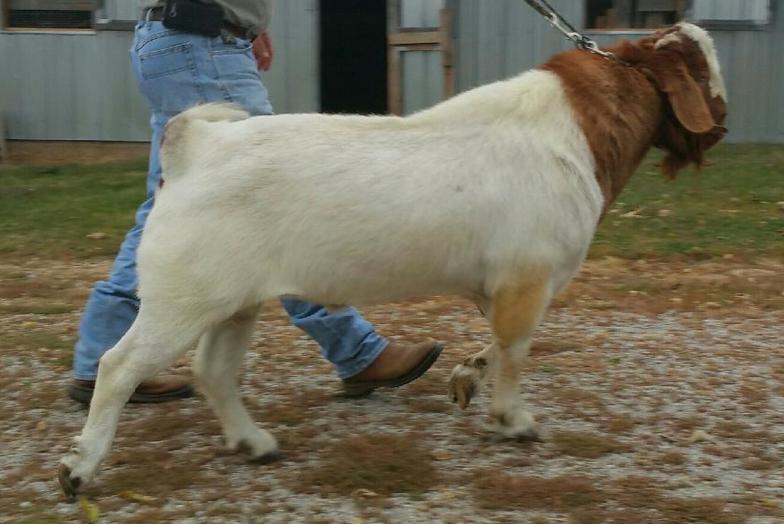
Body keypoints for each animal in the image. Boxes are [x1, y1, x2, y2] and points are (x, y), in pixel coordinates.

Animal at [59, 22, 727, 497]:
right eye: (705, 72)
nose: (721, 127)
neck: (572, 132)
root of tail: (196, 145)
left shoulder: (503, 286)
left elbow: (497, 343)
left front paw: (466, 378)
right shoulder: (528, 277)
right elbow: (515, 350)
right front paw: (513, 420)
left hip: (232, 301)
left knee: (214, 371)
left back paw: (254, 443)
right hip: (184, 296)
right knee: (120, 367)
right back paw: (79, 469)